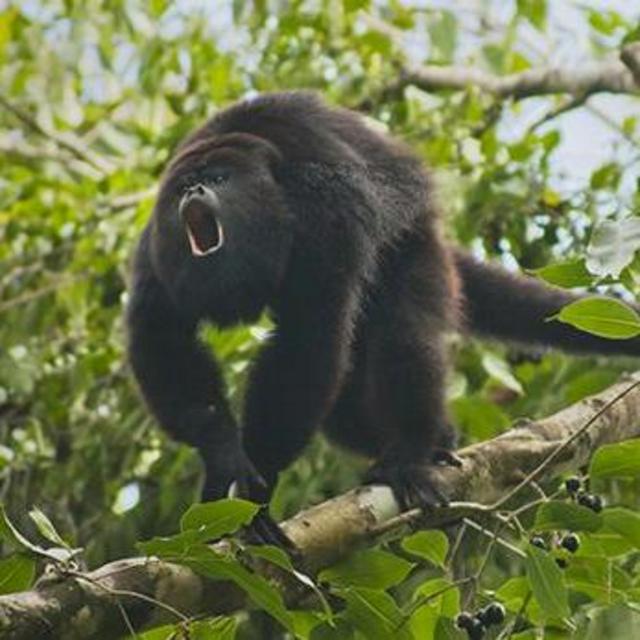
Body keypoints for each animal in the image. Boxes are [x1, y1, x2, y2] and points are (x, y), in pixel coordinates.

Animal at [126, 91, 640, 510]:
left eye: (219, 178)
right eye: (183, 185)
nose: (193, 190)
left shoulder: (323, 211)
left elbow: (308, 340)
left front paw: (262, 482)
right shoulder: (152, 251)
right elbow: (162, 337)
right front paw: (223, 454)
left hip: (415, 249)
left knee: (403, 338)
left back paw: (410, 455)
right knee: (341, 399)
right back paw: (436, 440)